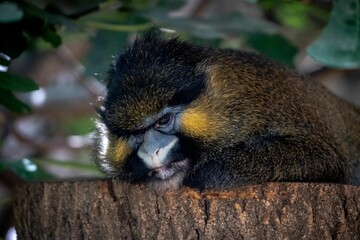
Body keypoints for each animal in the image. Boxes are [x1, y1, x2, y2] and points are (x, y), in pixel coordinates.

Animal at [93, 30, 360, 191]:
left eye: (163, 120)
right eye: (137, 134)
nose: (152, 150)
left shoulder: (266, 106)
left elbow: (324, 155)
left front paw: (212, 171)